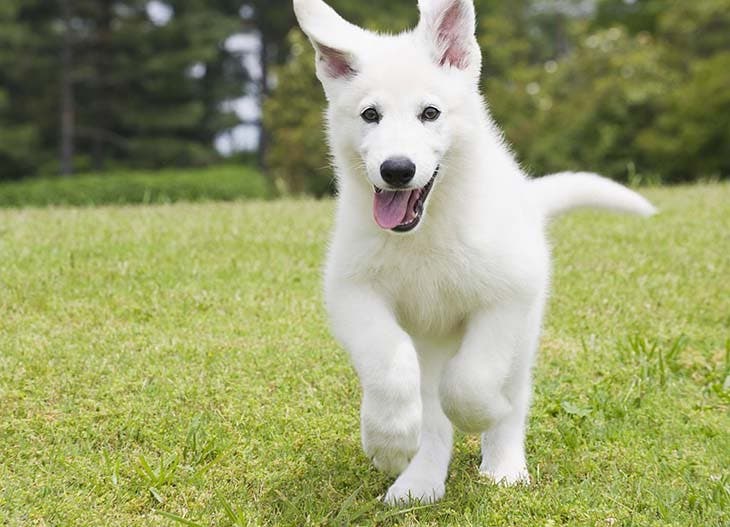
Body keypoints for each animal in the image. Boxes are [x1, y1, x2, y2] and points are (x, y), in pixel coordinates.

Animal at [290, 0, 656, 506]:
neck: (426, 231)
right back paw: (418, 481)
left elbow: (472, 381)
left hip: (524, 334)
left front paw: (482, 415)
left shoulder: (507, 298)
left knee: (510, 395)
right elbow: (389, 361)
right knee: (431, 410)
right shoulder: (352, 292)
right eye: (370, 114)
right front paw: (388, 440)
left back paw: (503, 466)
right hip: (430, 344)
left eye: (430, 112)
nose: (397, 170)